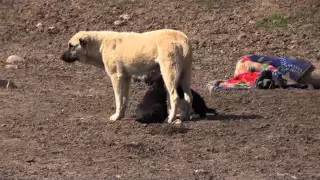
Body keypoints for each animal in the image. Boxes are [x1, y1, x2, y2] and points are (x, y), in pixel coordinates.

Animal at [61, 28, 194, 123]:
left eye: (71, 45)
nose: (61, 57)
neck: (100, 44)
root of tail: (183, 39)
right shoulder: (126, 77)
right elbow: (124, 98)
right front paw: (121, 115)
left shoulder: (116, 77)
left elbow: (118, 99)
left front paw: (116, 116)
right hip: (185, 74)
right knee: (188, 97)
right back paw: (185, 117)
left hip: (169, 73)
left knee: (175, 97)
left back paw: (171, 118)